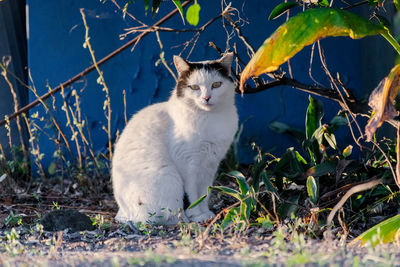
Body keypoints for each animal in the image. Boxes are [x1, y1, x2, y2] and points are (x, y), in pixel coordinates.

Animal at [111, 51, 239, 224]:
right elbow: (192, 194)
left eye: (216, 85)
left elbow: (204, 193)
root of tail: (122, 213)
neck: (210, 118)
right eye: (195, 87)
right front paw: (197, 215)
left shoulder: (211, 163)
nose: (206, 98)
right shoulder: (187, 164)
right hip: (169, 177)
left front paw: (205, 212)